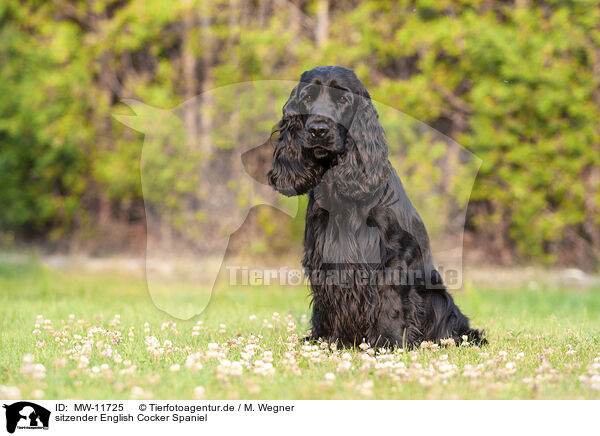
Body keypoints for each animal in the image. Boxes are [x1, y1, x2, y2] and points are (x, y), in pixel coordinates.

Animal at [268, 66, 482, 350]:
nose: (318, 130)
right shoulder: (323, 254)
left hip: (437, 296)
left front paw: (389, 341)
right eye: (307, 97)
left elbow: (390, 301)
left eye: (343, 100)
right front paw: (329, 340)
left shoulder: (394, 254)